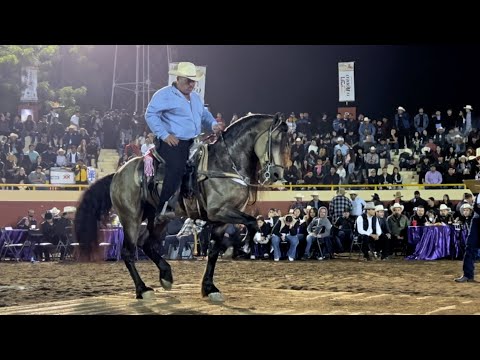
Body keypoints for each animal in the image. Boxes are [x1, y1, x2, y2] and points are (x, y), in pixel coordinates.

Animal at [75, 112, 288, 300]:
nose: (277, 174)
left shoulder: (221, 220)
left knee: (146, 244)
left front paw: (209, 287)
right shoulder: (218, 211)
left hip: (156, 219)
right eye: (276, 140)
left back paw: (166, 275)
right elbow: (251, 222)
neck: (224, 163)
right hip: (131, 218)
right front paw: (242, 247)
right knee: (128, 251)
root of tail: (117, 174)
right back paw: (142, 289)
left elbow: (213, 251)